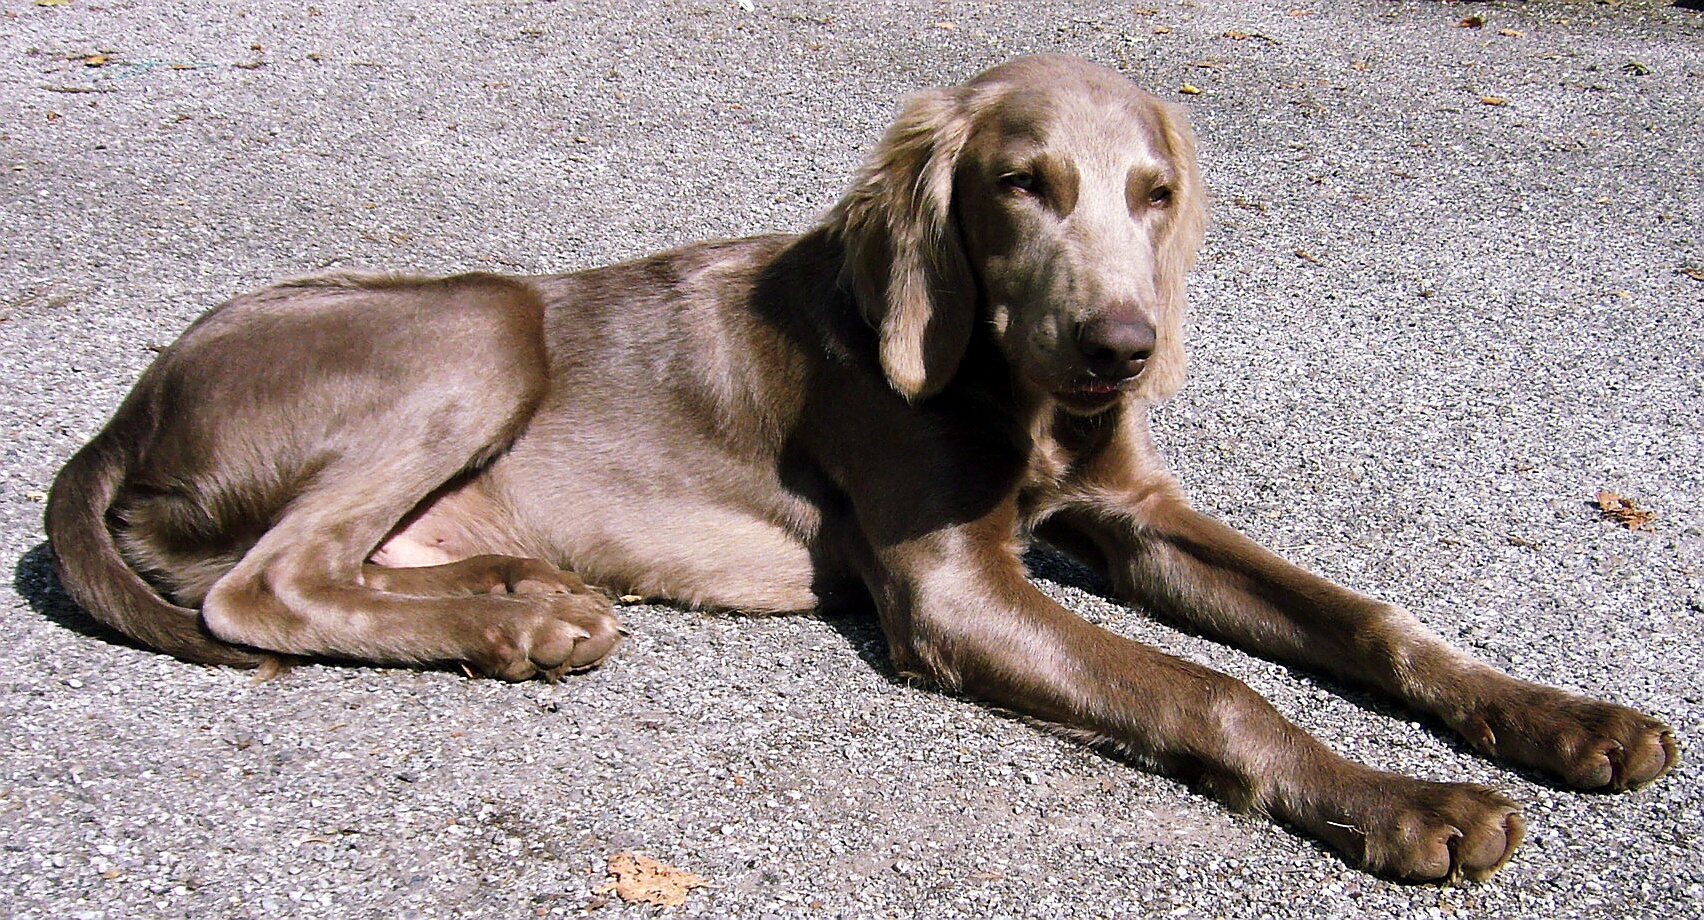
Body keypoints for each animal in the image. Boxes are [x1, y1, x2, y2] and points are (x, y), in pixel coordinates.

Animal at [43, 52, 1676, 885]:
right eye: (1021, 185)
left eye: (1155, 194)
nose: (1123, 349)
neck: (1012, 384)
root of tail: (128, 405)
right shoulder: (951, 587)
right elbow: (1216, 690)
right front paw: (1410, 804)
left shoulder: (1137, 516)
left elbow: (1368, 618)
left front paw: (1566, 719)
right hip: (483, 314)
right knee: (263, 588)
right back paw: (525, 623)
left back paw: (521, 594)